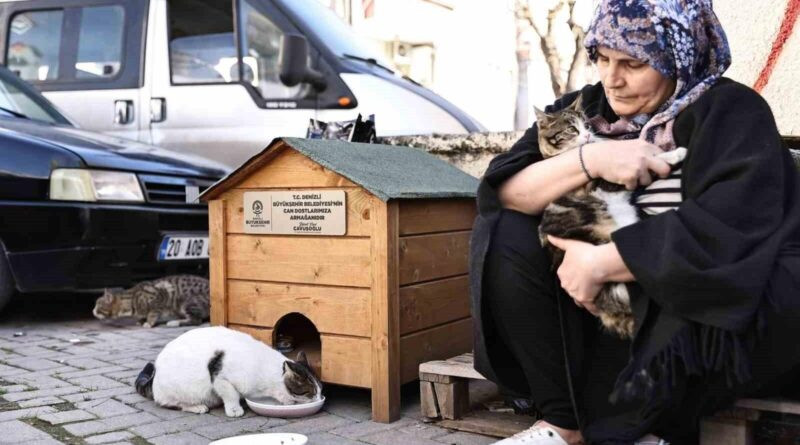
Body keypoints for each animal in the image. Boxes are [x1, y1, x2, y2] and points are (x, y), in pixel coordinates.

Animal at [136, 326, 324, 416]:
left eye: (320, 390)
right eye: (312, 392)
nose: (319, 399)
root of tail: (154, 377)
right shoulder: (219, 375)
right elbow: (231, 394)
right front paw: (234, 409)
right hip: (180, 390)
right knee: (171, 403)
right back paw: (197, 407)